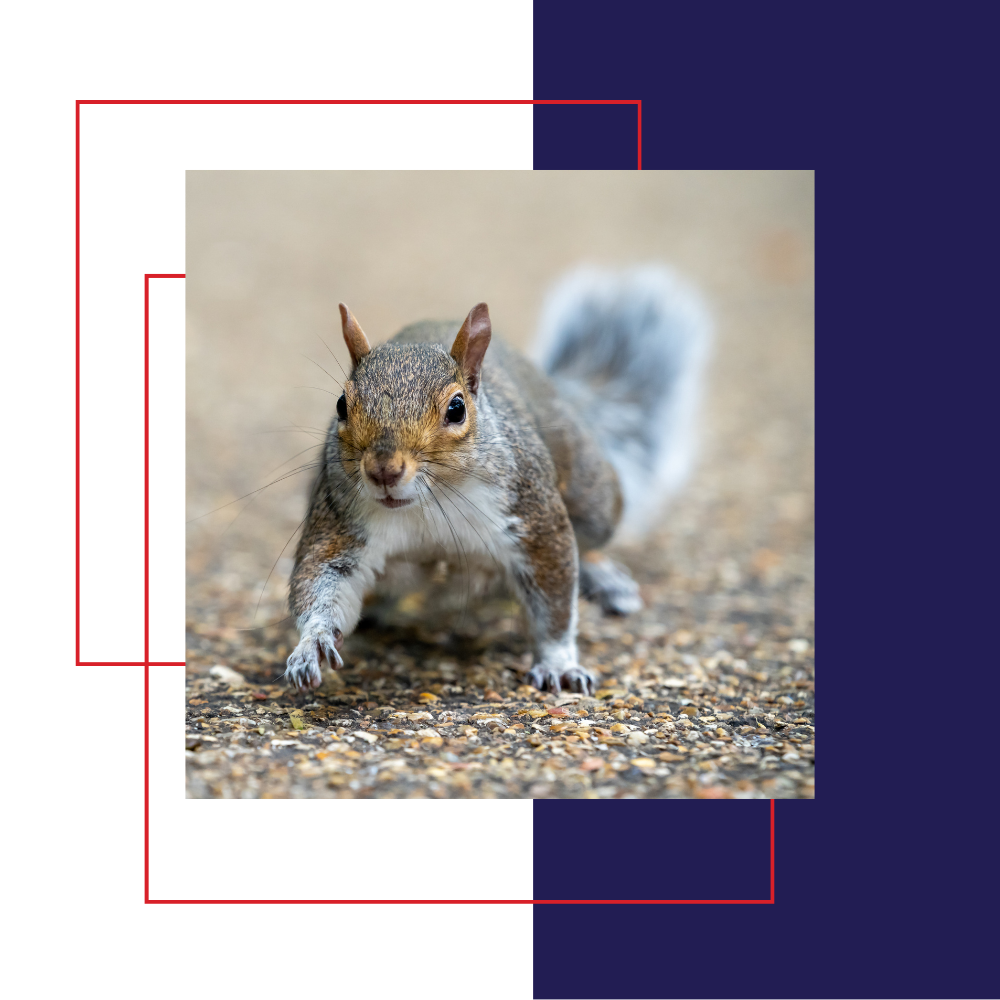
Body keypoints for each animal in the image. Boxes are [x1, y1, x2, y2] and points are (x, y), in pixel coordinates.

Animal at [284, 265, 710, 695]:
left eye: (457, 409)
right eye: (341, 405)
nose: (383, 470)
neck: (431, 501)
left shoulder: (534, 516)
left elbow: (555, 603)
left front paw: (559, 664)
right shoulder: (341, 522)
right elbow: (322, 580)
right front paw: (311, 645)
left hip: (594, 499)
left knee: (587, 540)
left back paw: (604, 578)